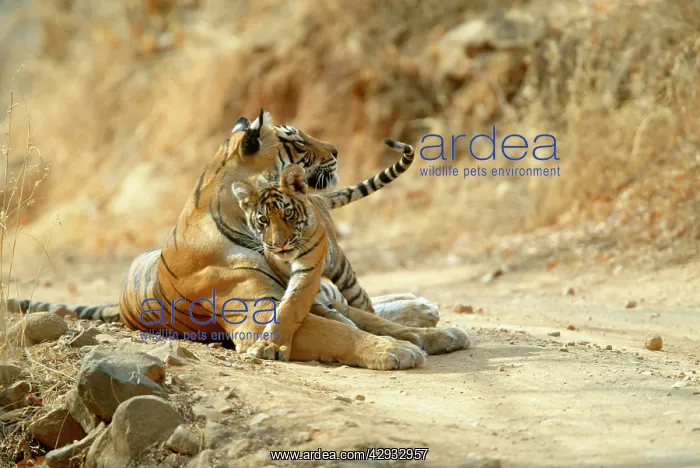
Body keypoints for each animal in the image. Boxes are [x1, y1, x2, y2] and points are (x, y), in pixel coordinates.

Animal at [7, 109, 469, 370]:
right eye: (296, 140)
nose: (337, 150)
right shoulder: (258, 320)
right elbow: (345, 333)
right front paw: (395, 351)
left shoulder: (306, 295)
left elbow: (374, 320)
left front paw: (440, 335)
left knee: (362, 303)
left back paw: (422, 308)